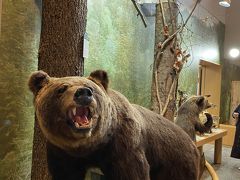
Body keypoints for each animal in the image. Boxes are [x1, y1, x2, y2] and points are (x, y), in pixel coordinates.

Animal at [28, 69, 201, 179]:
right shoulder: (62, 152)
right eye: (62, 89)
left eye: (91, 88)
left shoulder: (124, 145)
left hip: (175, 162)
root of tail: (191, 142)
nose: (83, 93)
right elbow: (65, 173)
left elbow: (132, 172)